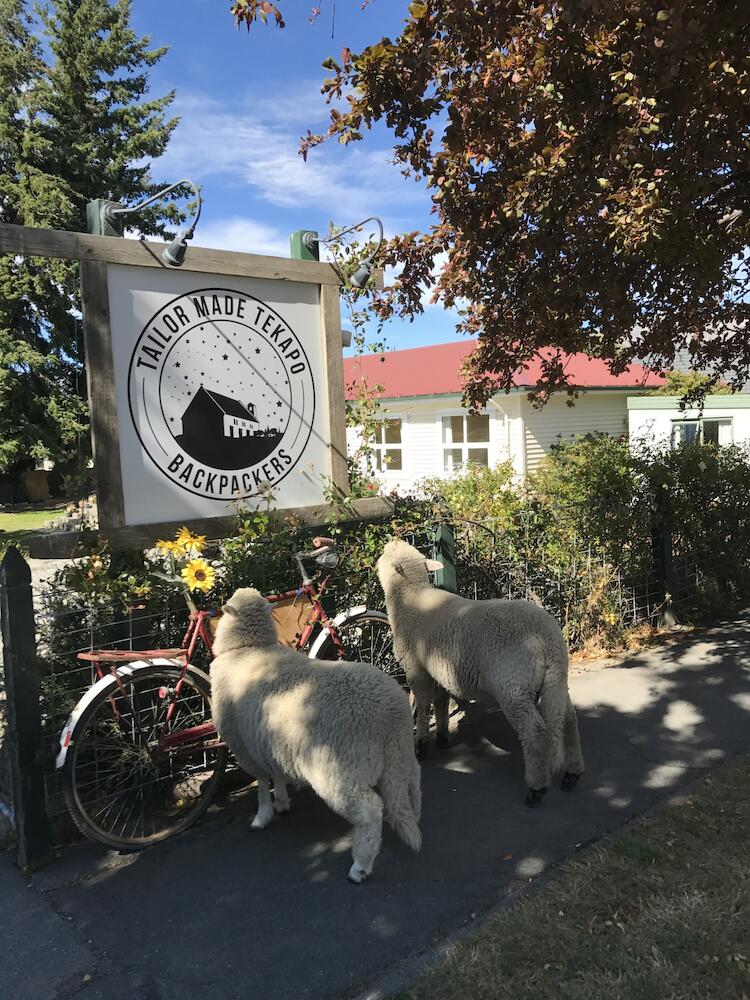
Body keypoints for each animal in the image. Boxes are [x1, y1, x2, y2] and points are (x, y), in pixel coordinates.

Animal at [212, 584, 424, 884]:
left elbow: (262, 783)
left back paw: (360, 866)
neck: (249, 648)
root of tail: (389, 715)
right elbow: (276, 773)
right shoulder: (268, 740)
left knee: (370, 810)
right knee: (412, 779)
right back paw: (414, 814)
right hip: (399, 752)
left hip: (337, 769)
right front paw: (282, 802)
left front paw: (262, 816)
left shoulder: (244, 746)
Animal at [378, 536, 584, 808]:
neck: (409, 597)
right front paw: (442, 737)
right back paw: (572, 774)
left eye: (384, 552)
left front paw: (421, 745)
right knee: (568, 720)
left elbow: (422, 706)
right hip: (556, 678)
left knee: (535, 732)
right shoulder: (439, 668)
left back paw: (536, 790)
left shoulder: (416, 668)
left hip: (513, 685)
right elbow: (440, 701)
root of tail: (547, 637)